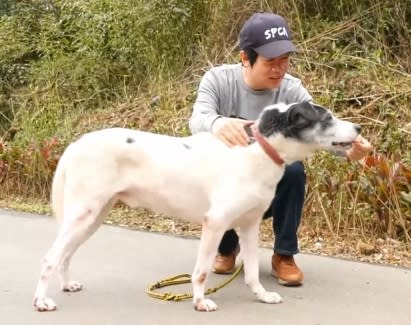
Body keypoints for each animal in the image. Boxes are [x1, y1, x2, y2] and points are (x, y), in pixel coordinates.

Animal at [33, 101, 360, 312]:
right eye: (326, 118)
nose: (358, 127)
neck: (257, 152)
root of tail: (77, 143)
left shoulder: (249, 226)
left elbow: (253, 271)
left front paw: (262, 295)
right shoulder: (215, 223)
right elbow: (201, 271)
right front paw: (200, 301)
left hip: (92, 218)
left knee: (65, 256)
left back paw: (66, 285)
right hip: (83, 214)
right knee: (50, 257)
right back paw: (41, 301)